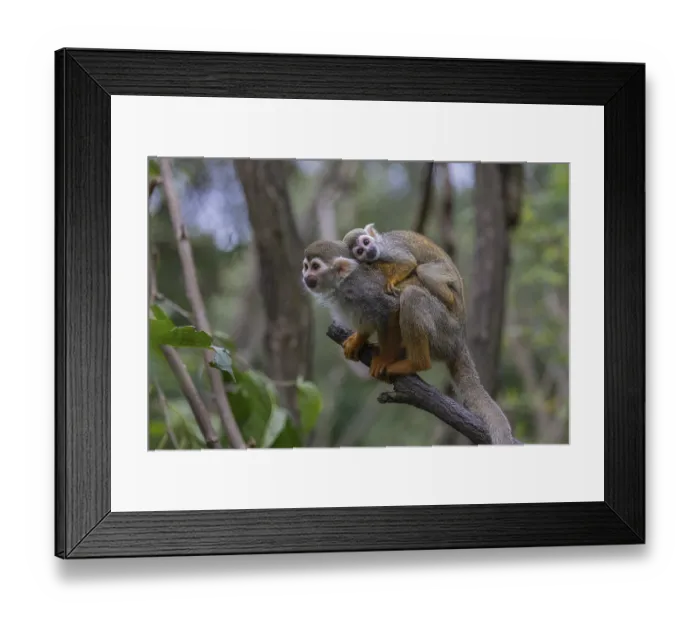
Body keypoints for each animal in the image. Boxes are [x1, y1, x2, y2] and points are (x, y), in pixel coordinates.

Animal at [302, 239, 515, 445]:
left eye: (315, 266)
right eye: (305, 266)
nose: (305, 276)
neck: (342, 283)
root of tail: (459, 337)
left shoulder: (363, 287)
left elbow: (391, 309)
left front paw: (384, 359)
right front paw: (359, 339)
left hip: (443, 331)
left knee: (411, 297)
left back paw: (415, 363)